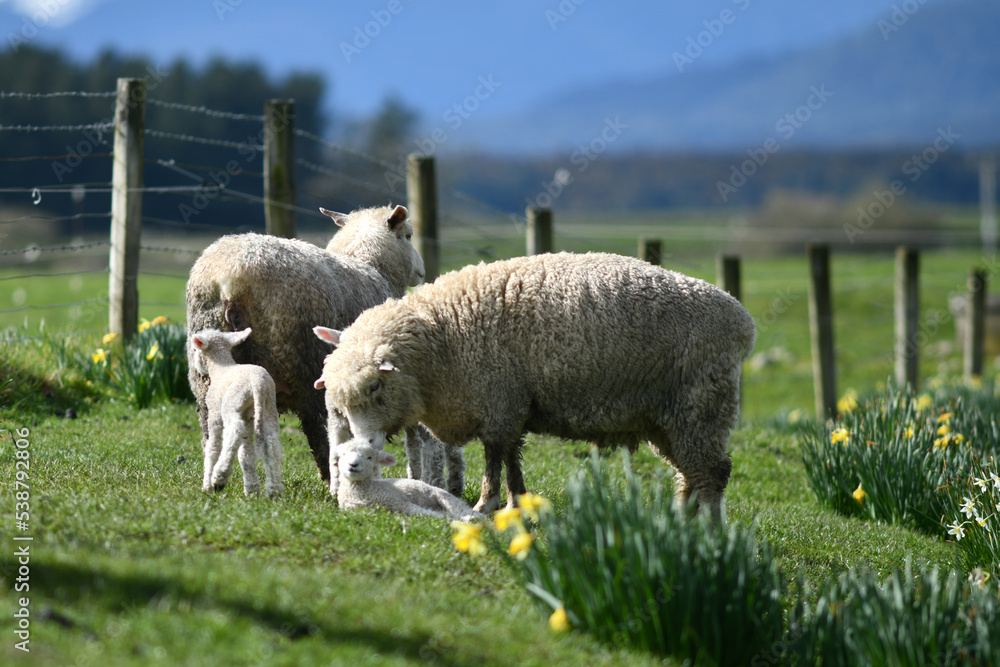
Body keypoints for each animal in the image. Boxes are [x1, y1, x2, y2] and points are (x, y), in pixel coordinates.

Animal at [189, 326, 284, 498]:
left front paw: (207, 485)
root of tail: (258, 383)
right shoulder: (248, 418)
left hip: (232, 404)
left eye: (195, 350)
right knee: (271, 444)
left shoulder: (214, 413)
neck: (220, 368)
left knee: (234, 430)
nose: (197, 369)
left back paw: (219, 476)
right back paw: (274, 490)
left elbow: (212, 447)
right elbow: (246, 453)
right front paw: (252, 489)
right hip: (268, 409)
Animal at [336, 440, 484, 524]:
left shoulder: (398, 501)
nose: (353, 465)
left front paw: (447, 518)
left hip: (444, 497)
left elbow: (423, 512)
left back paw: (474, 518)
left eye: (369, 457)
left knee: (462, 509)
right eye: (343, 454)